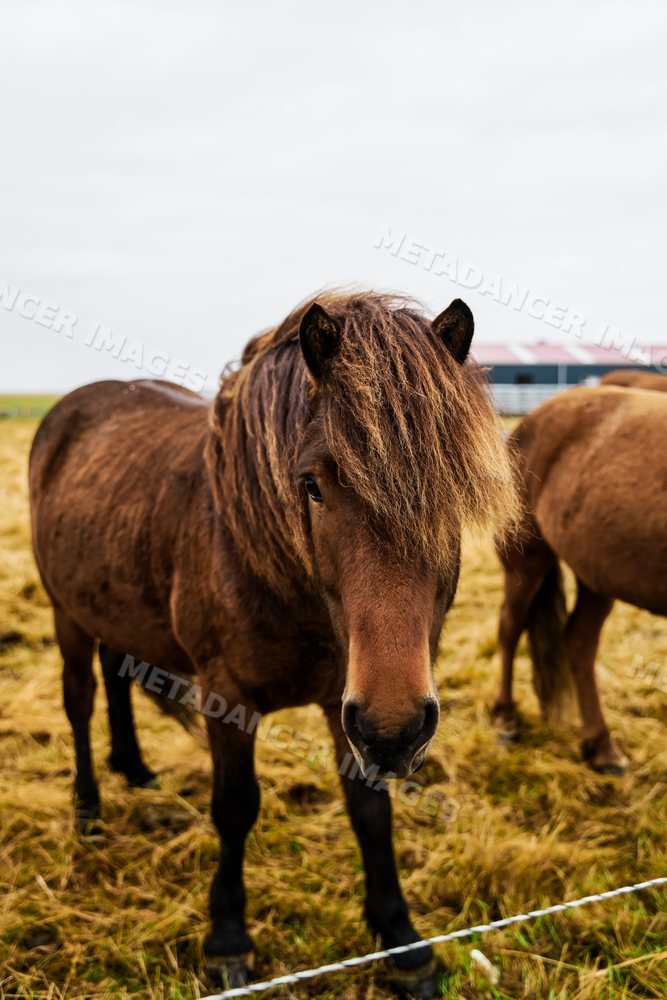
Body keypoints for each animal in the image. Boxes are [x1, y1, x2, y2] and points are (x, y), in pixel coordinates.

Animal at [29, 291, 516, 995]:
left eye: (453, 486)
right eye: (311, 486)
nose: (396, 729)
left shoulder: (347, 705)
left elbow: (370, 811)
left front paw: (400, 939)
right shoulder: (228, 698)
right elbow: (235, 807)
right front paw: (229, 941)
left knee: (116, 678)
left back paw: (136, 770)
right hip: (66, 612)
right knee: (80, 699)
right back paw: (89, 811)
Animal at [492, 385, 667, 774]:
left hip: (596, 576)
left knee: (579, 643)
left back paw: (600, 746)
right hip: (527, 562)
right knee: (510, 627)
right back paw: (504, 718)